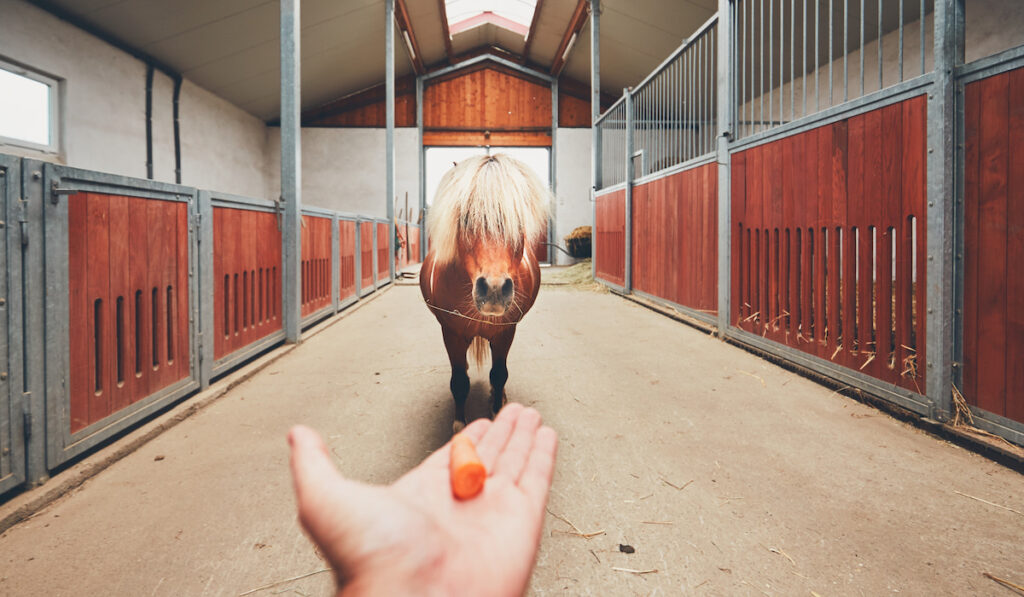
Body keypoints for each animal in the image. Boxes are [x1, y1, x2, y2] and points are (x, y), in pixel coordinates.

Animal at [419, 154, 552, 432]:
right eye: (465, 218)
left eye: (517, 221)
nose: (494, 290)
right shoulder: (451, 333)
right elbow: (460, 381)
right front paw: (460, 426)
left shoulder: (505, 332)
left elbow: (499, 374)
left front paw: (498, 410)